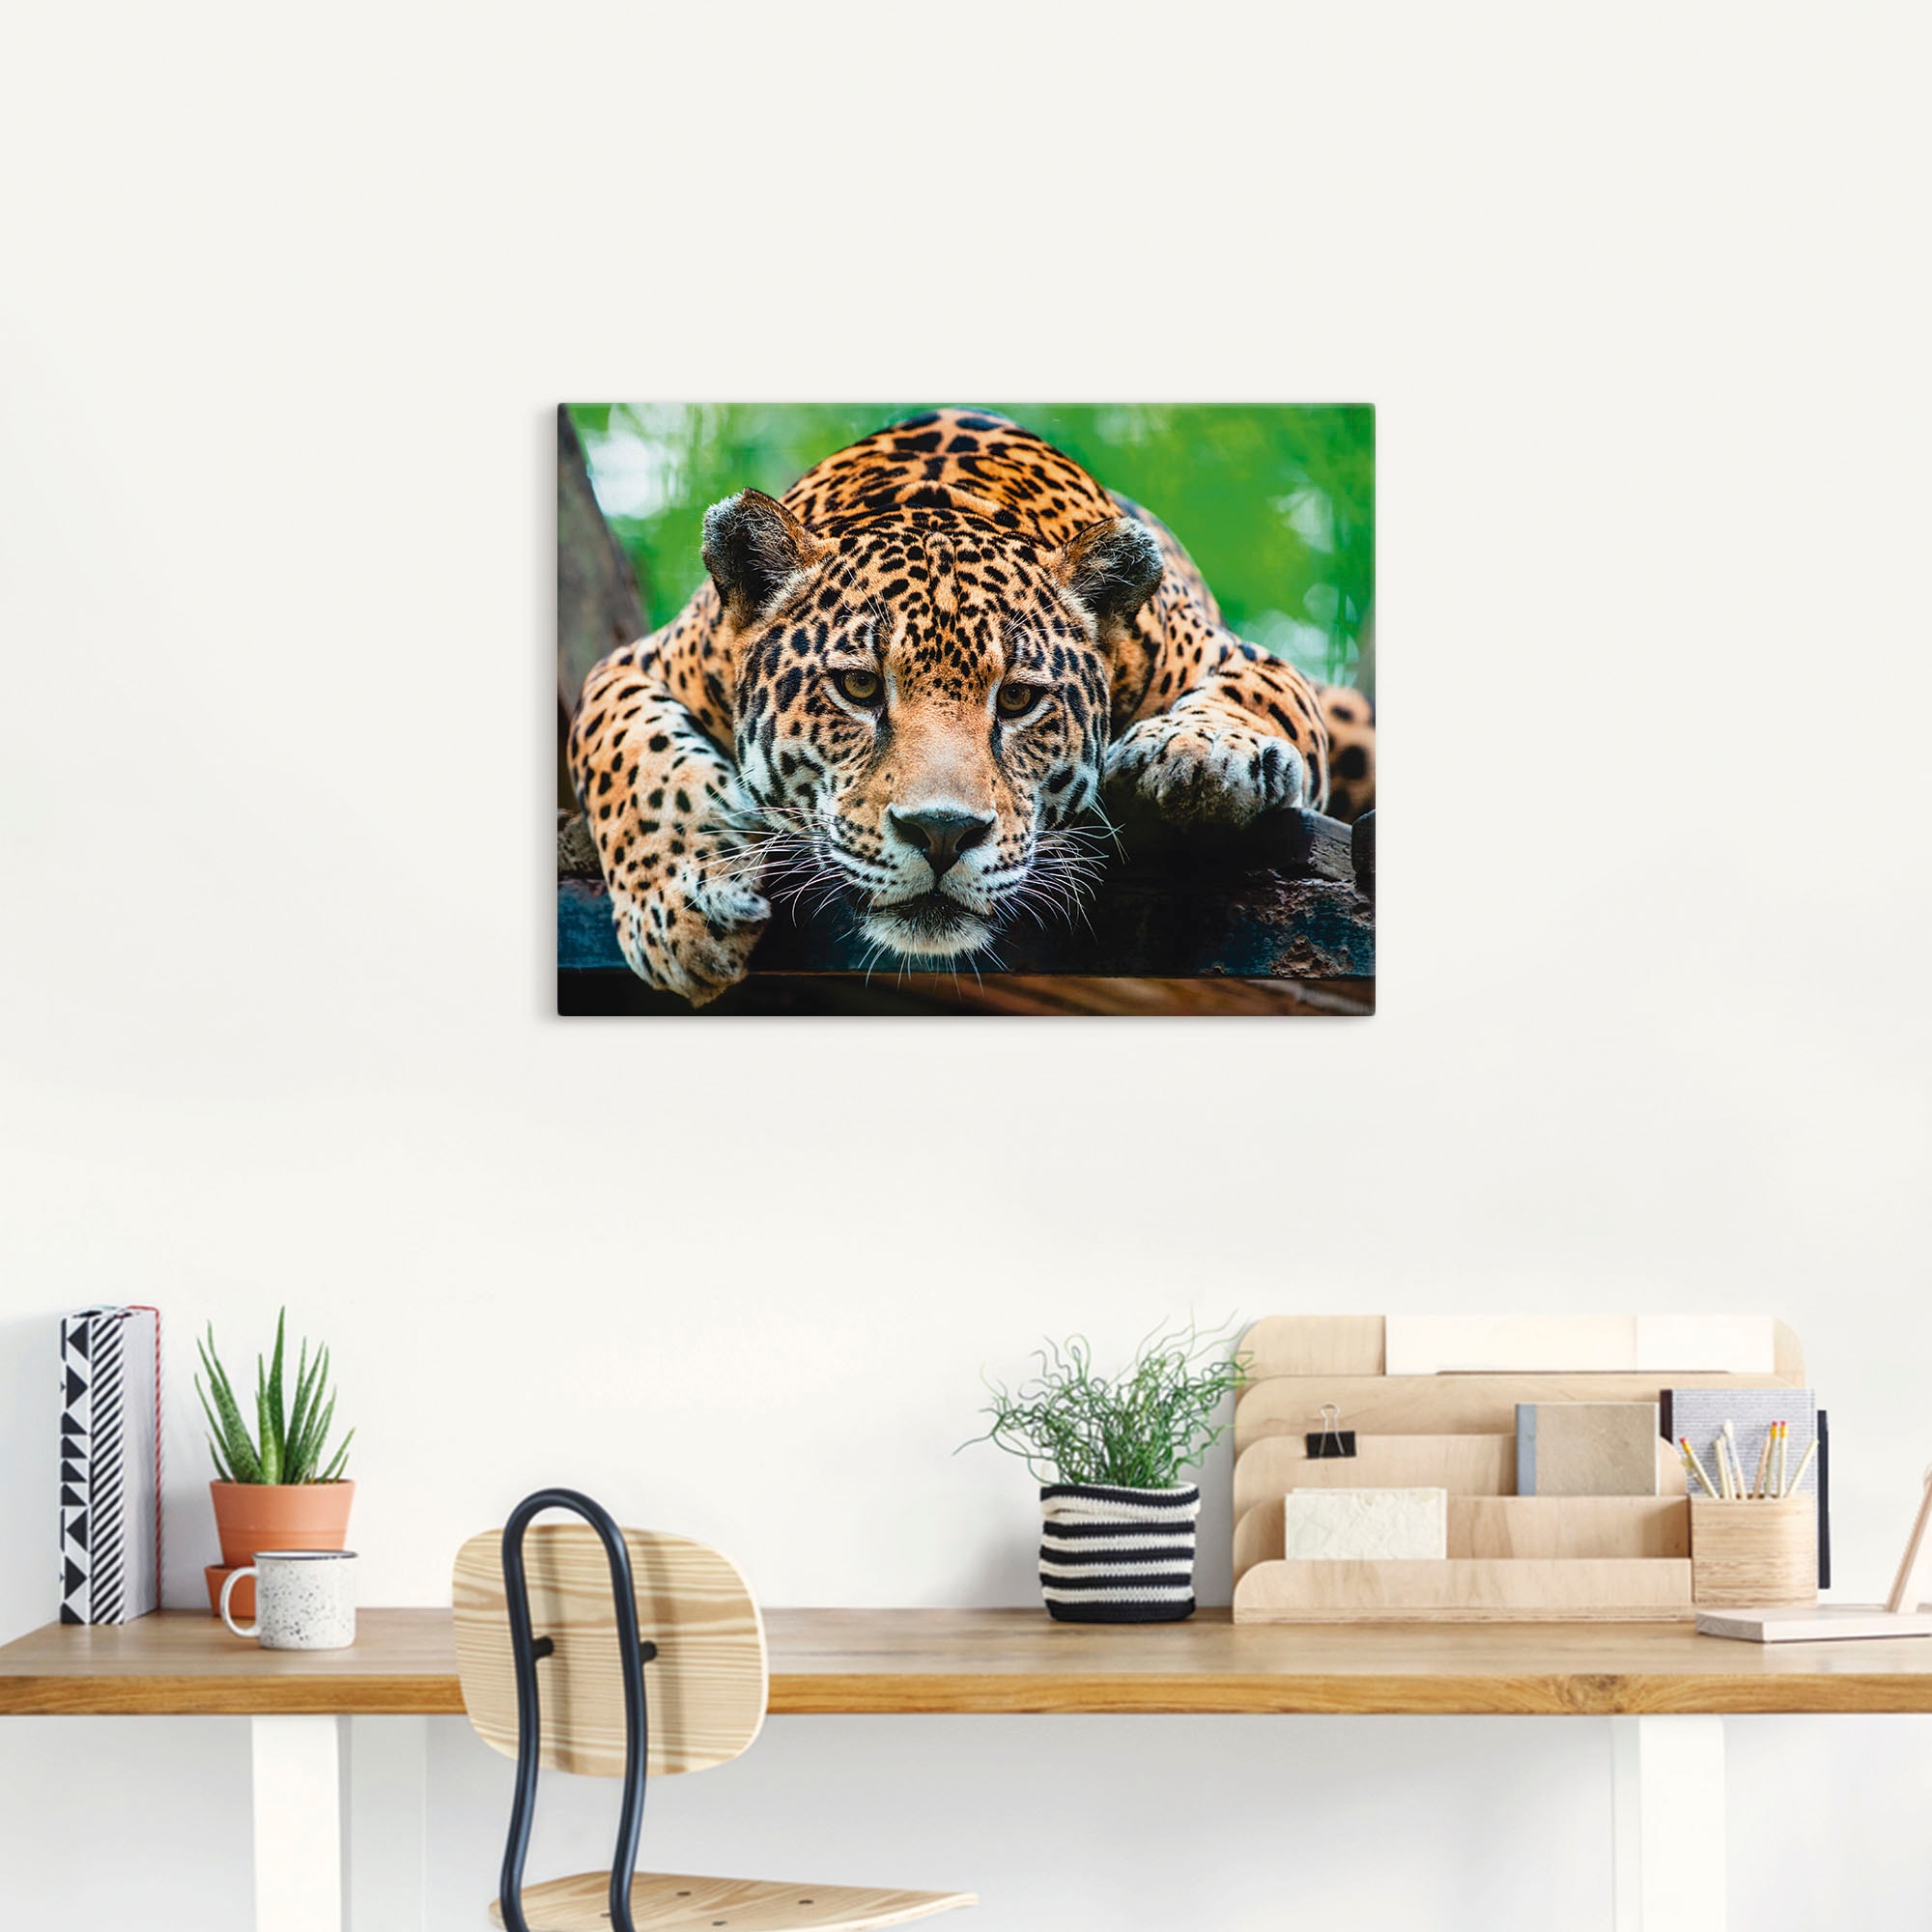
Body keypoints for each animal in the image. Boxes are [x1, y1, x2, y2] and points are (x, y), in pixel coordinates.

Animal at [566, 409, 1376, 1006]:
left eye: (1017, 699)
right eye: (860, 688)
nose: (942, 833)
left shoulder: (1238, 656)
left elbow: (1260, 695)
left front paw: (1200, 753)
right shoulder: (636, 663)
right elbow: (628, 754)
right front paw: (680, 911)